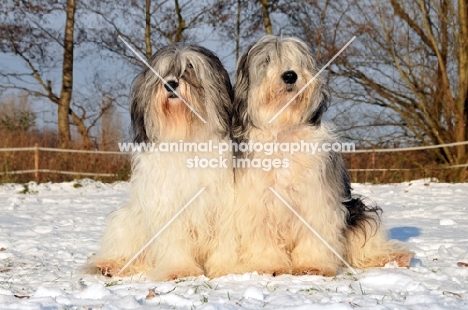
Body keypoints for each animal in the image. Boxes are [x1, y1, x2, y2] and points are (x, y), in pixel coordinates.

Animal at [87, 43, 238, 280]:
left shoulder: (222, 201)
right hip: (127, 221)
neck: (184, 137)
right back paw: (109, 265)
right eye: (162, 71)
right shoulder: (168, 202)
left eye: (190, 67)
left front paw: (225, 268)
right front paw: (179, 269)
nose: (170, 83)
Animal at [230, 35, 414, 276]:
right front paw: (269, 265)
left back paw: (393, 258)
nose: (290, 75)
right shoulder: (257, 201)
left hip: (358, 213)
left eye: (298, 60)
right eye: (267, 60)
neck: (283, 130)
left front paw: (312, 266)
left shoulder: (316, 198)